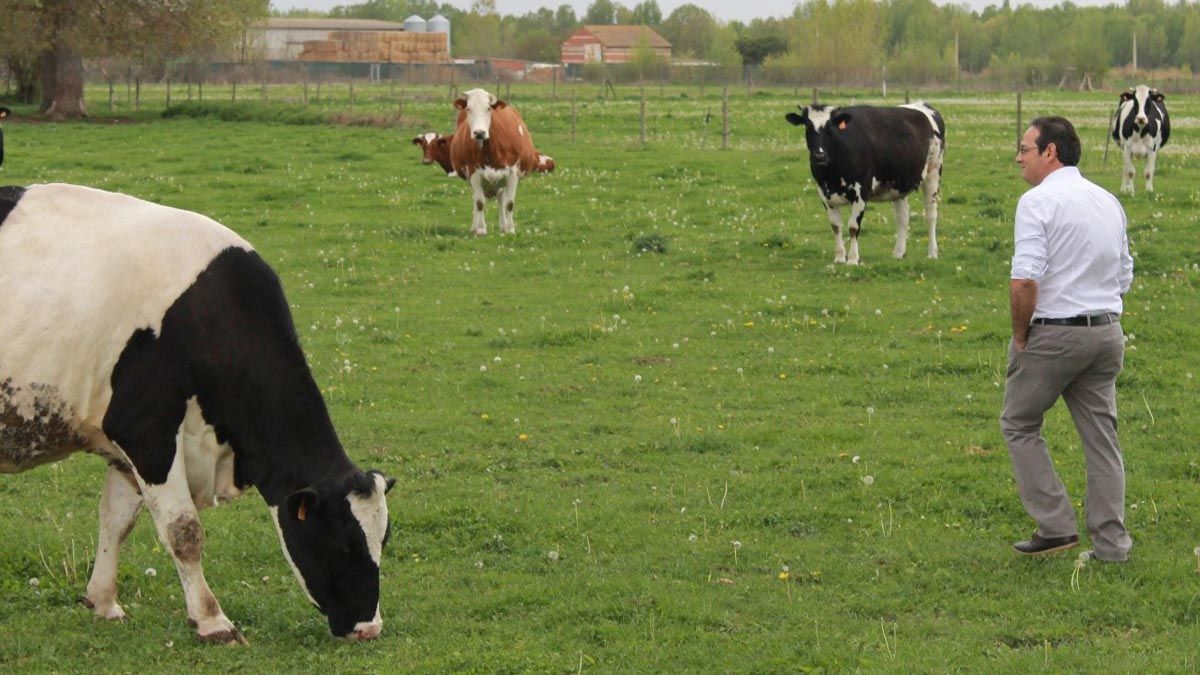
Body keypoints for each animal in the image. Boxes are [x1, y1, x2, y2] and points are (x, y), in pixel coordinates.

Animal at [3, 123, 398, 643]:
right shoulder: (145, 431)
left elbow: (116, 520)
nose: (368, 627)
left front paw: (104, 601)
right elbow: (183, 531)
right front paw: (213, 621)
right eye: (342, 542)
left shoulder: (127, 447)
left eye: (383, 539)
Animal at [448, 88, 547, 236]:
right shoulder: (473, 174)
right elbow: (479, 203)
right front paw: (481, 229)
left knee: (501, 199)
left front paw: (510, 229)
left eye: (488, 108)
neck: (490, 151)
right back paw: (474, 227)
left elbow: (509, 203)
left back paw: (503, 226)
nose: (479, 133)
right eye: (468, 108)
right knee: (476, 200)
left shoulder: (512, 174)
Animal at [787, 100, 945, 264]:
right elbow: (836, 226)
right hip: (898, 185)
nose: (819, 156)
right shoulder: (825, 194)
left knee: (931, 214)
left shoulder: (861, 191)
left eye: (829, 127)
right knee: (902, 217)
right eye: (807, 126)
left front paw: (852, 259)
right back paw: (898, 253)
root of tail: (921, 104)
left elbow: (853, 226)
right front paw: (839, 257)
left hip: (934, 172)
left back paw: (932, 253)